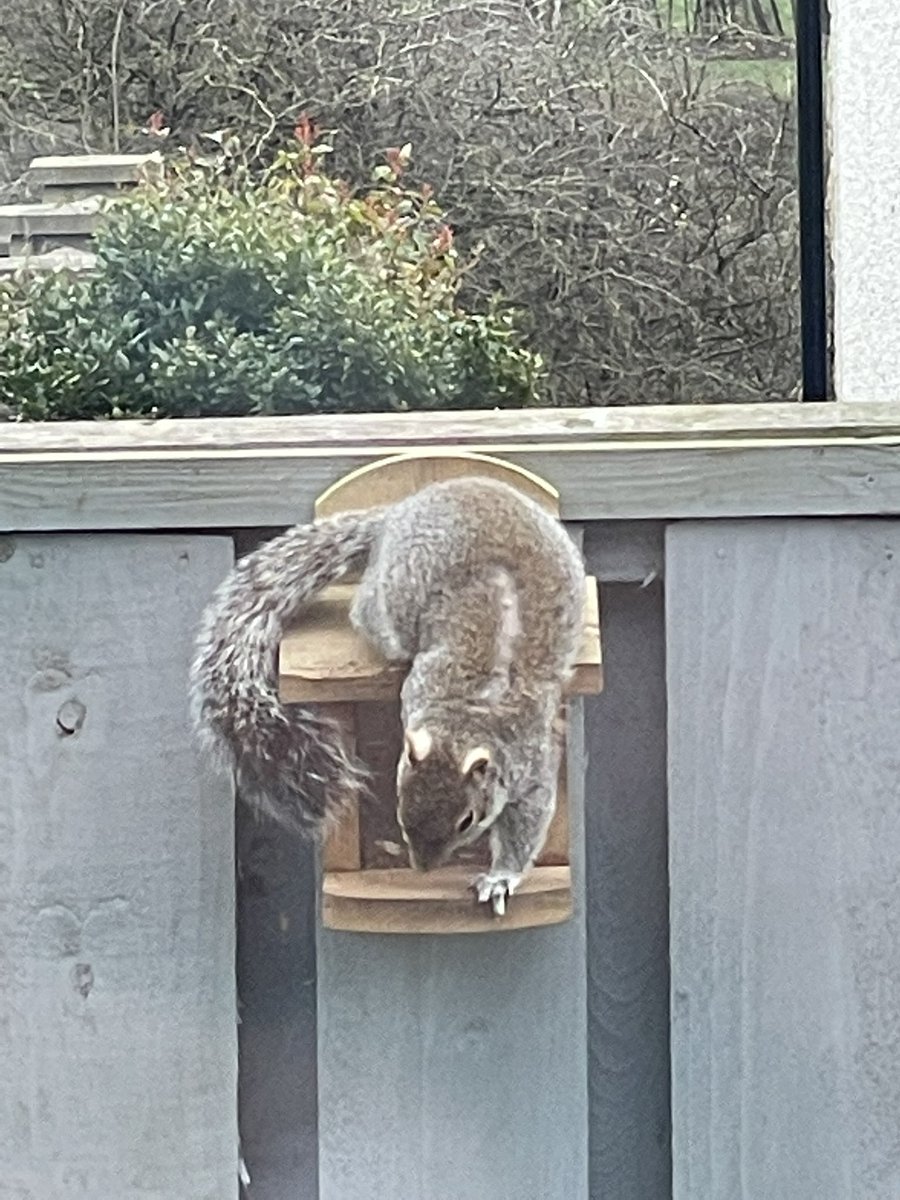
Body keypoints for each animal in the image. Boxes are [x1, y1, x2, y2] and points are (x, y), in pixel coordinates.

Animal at [190, 475, 586, 915]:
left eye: (467, 819)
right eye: (400, 805)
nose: (423, 869)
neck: (470, 714)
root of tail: (398, 511)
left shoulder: (528, 760)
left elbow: (527, 819)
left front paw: (501, 878)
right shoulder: (422, 689)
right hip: (393, 604)